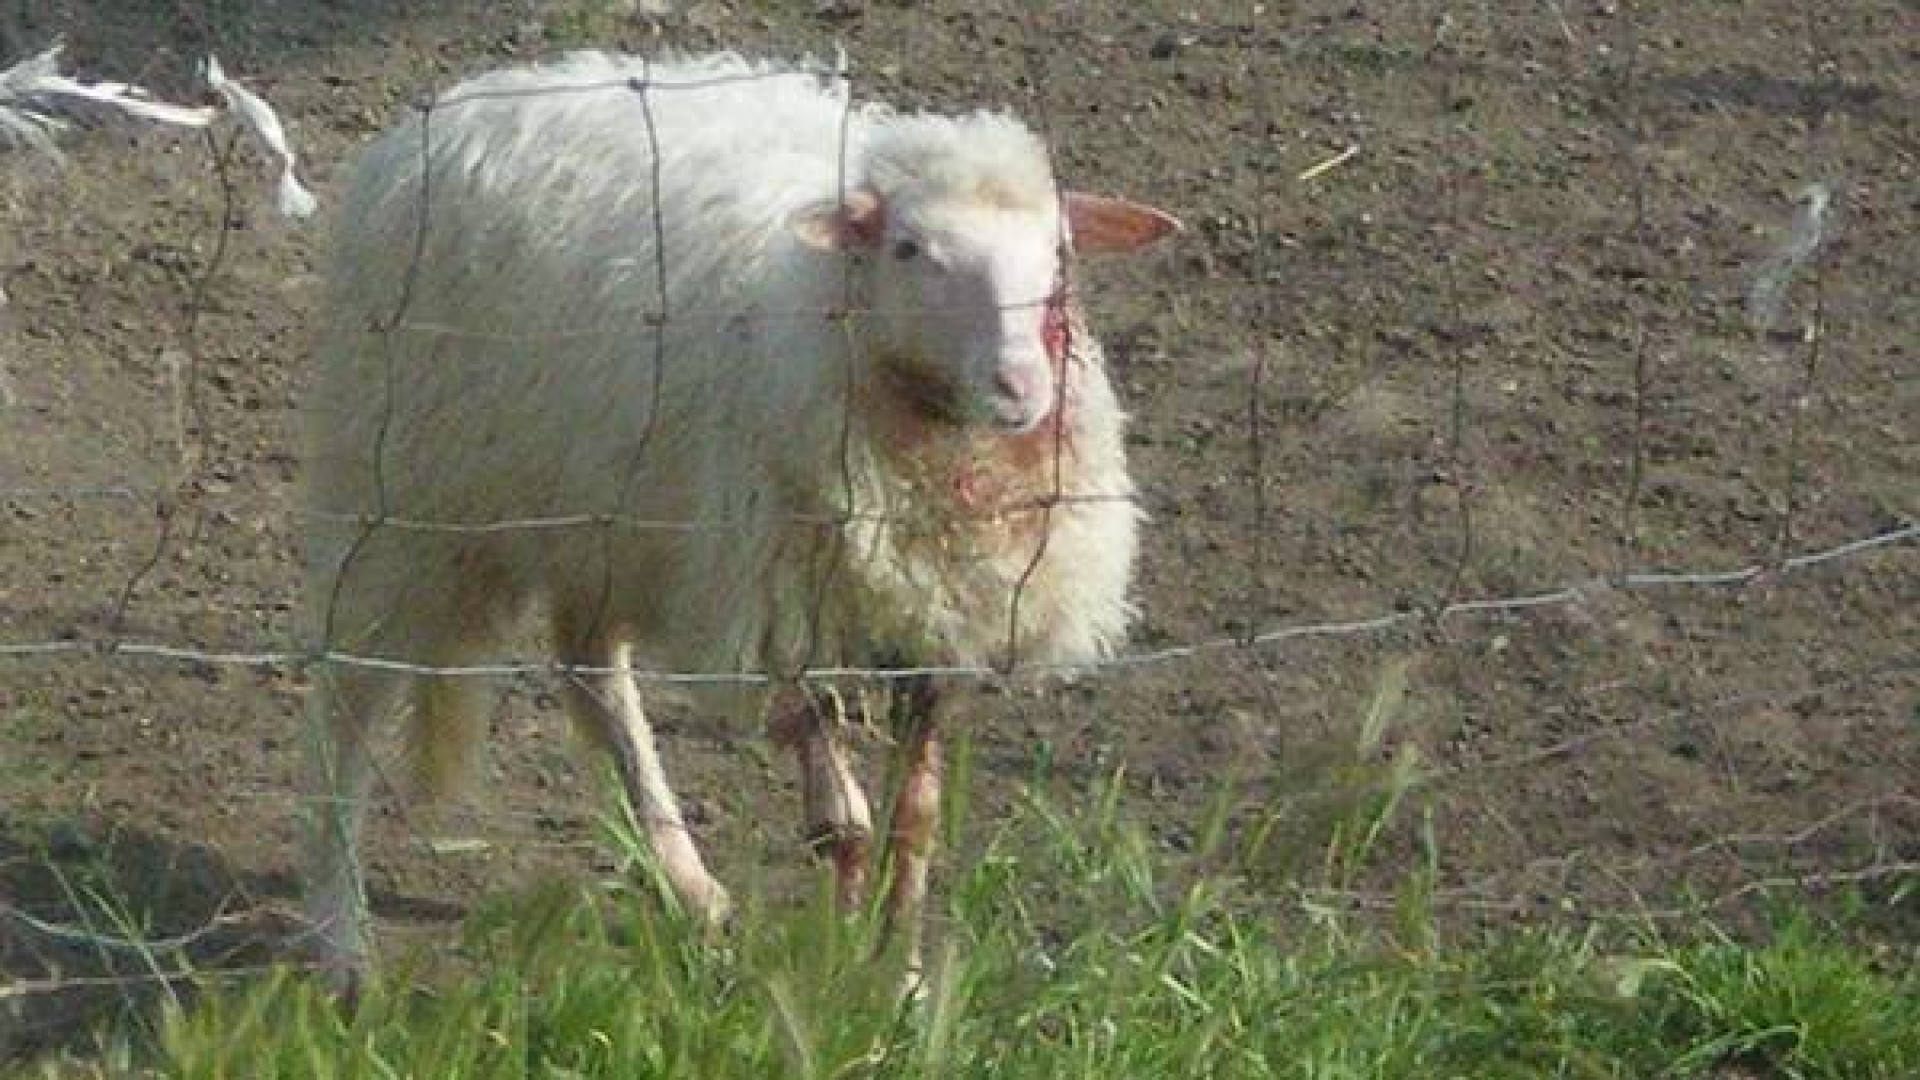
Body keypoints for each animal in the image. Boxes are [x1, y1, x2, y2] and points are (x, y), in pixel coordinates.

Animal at [300, 50, 1179, 987]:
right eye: (909, 249)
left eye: (1058, 254)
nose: (1020, 386)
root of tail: (474, 97)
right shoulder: (782, 613)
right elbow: (842, 827)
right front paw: (839, 969)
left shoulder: (937, 624)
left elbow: (914, 822)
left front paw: (899, 976)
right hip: (397, 496)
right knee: (346, 706)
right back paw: (340, 940)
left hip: (609, 521)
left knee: (591, 673)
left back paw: (687, 883)